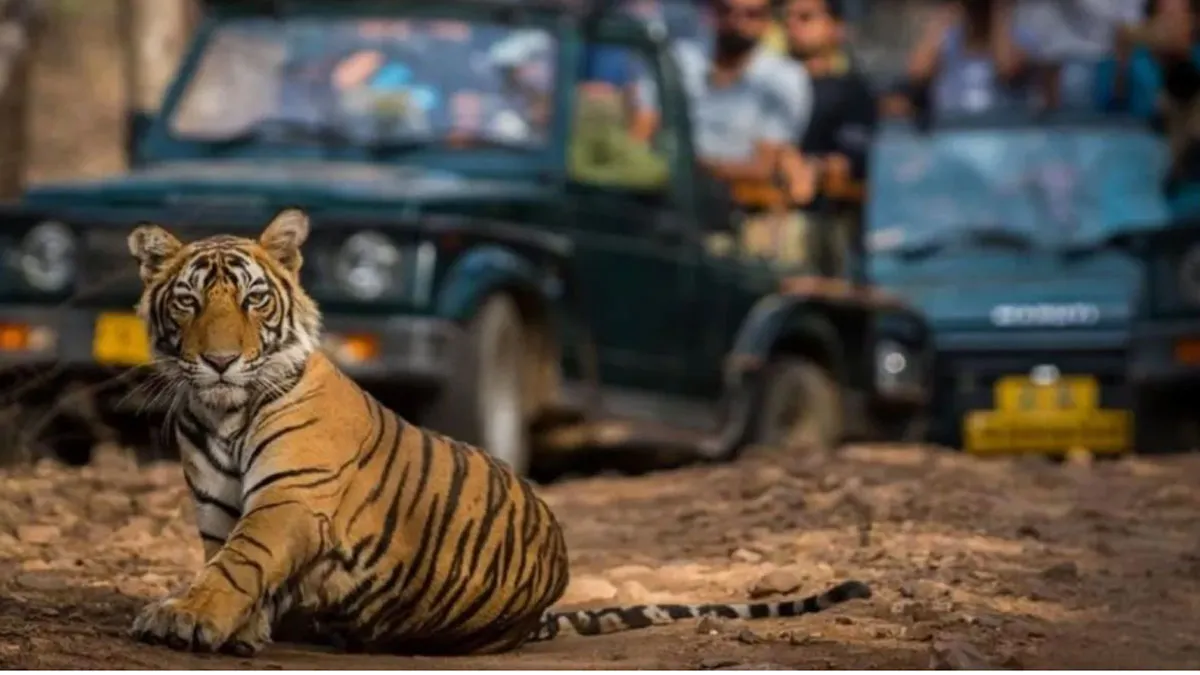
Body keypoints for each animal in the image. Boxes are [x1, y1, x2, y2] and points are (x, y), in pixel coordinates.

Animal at [124, 207, 874, 656]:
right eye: (188, 301)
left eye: (254, 300)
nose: (220, 360)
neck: (222, 413)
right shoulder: (218, 508)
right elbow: (227, 561)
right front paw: (232, 624)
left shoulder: (291, 498)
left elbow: (240, 562)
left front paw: (189, 618)